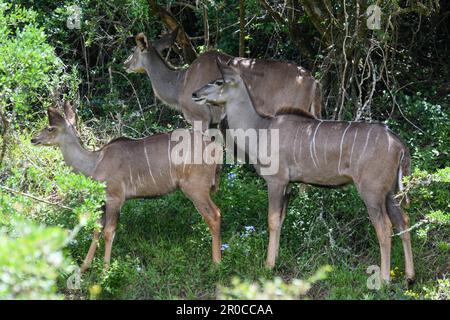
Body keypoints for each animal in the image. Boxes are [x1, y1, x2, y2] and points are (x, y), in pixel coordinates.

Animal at [29, 102, 221, 270]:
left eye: (50, 128)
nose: (33, 139)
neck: (95, 163)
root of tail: (215, 149)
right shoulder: (103, 203)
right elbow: (96, 230)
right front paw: (84, 267)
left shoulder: (115, 198)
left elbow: (109, 232)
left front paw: (106, 270)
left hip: (195, 188)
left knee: (214, 214)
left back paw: (216, 264)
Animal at [191, 60, 414, 282]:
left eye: (218, 81)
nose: (194, 94)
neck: (261, 129)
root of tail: (399, 145)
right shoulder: (288, 185)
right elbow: (281, 220)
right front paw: (276, 259)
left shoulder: (276, 181)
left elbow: (272, 220)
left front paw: (268, 265)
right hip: (390, 193)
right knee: (403, 221)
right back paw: (409, 276)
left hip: (371, 192)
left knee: (384, 227)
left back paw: (384, 280)